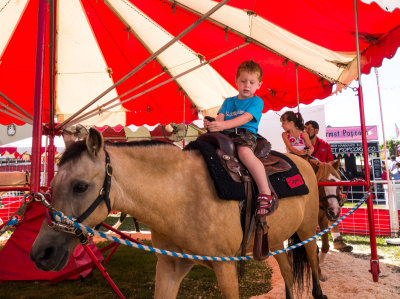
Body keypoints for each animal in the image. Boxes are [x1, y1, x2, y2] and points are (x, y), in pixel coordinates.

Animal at [29, 129, 326, 299]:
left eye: (80, 186)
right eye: (51, 186)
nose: (40, 254)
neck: (181, 195)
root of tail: (303, 162)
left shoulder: (226, 266)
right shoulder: (171, 265)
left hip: (308, 233)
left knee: (313, 266)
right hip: (274, 241)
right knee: (287, 272)